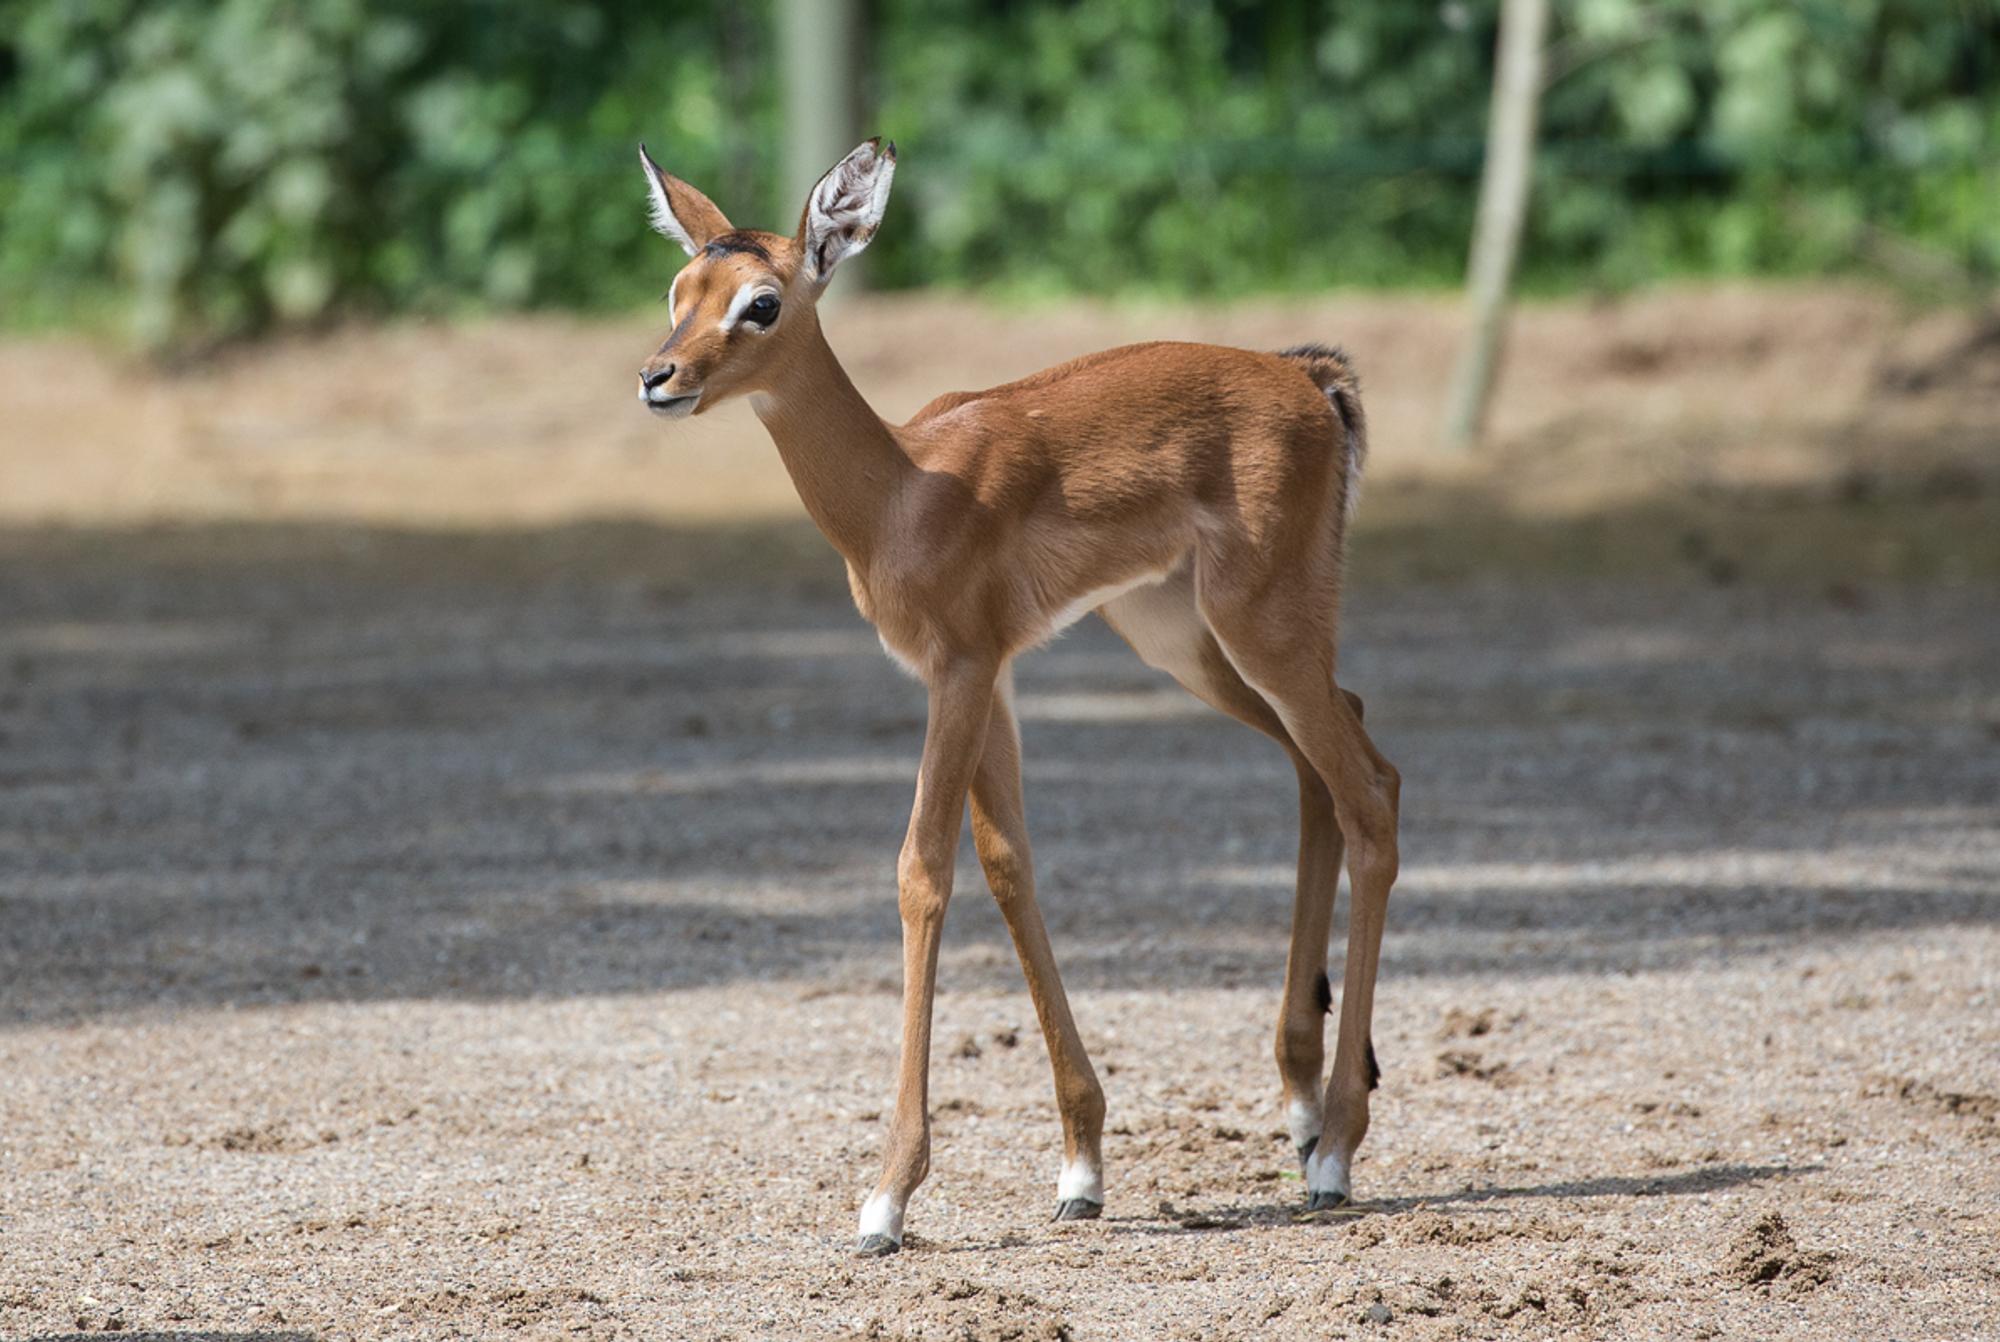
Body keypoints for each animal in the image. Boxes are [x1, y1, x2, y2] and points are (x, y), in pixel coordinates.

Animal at [635, 138, 1400, 1256]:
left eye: (762, 302)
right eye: (678, 289)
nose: (659, 377)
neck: (900, 493)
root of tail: (1308, 377)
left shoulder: (958, 669)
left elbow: (922, 871)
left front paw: (885, 1199)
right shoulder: (989, 675)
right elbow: (1008, 867)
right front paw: (1080, 1167)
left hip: (1261, 626)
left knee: (1369, 794)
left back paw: (1335, 1151)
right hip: (1189, 641)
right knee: (1331, 762)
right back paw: (1300, 1112)